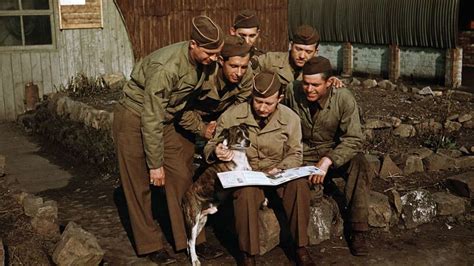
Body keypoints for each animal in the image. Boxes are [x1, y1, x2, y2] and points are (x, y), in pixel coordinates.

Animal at [182, 123, 252, 264]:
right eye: (238, 134)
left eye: (247, 133)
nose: (248, 141)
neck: (239, 155)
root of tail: (184, 197)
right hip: (193, 220)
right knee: (191, 241)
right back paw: (195, 260)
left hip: (201, 221)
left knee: (190, 241)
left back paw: (191, 255)